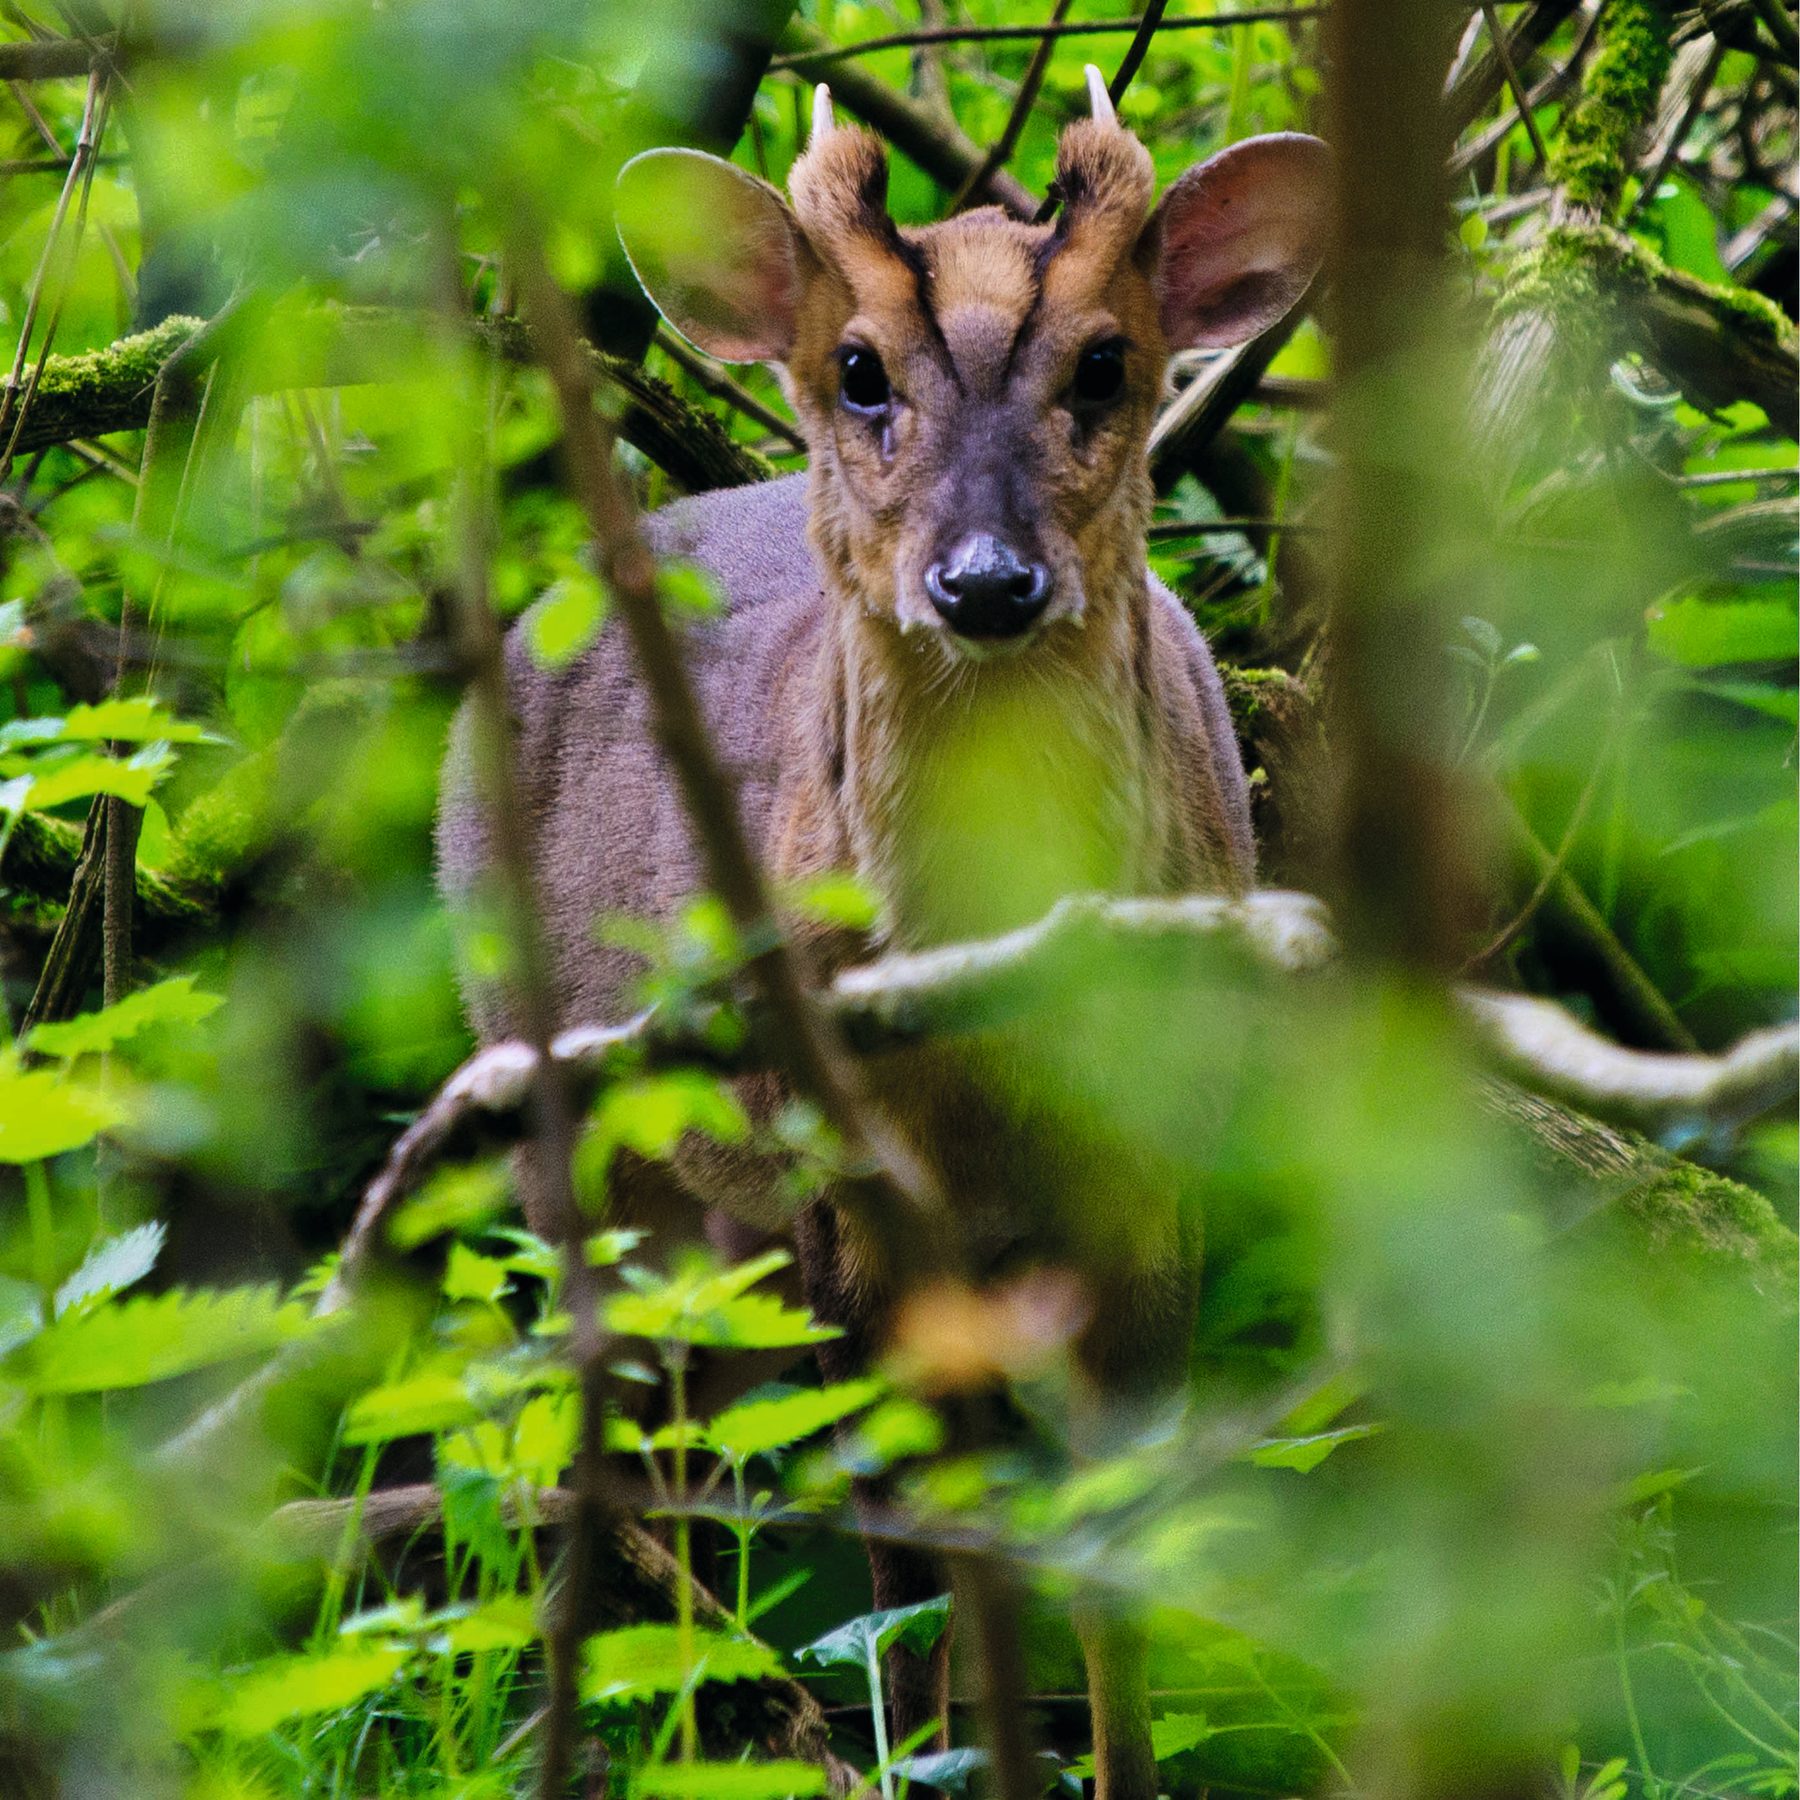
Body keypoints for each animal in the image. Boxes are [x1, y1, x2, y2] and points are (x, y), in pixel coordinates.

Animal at [438, 71, 1329, 1800]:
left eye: (1107, 362)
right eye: (858, 369)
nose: (986, 580)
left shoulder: (1150, 1173)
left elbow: (1112, 1551)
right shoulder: (847, 1191)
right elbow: (919, 1565)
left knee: (695, 1430)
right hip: (568, 1110)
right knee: (617, 1437)